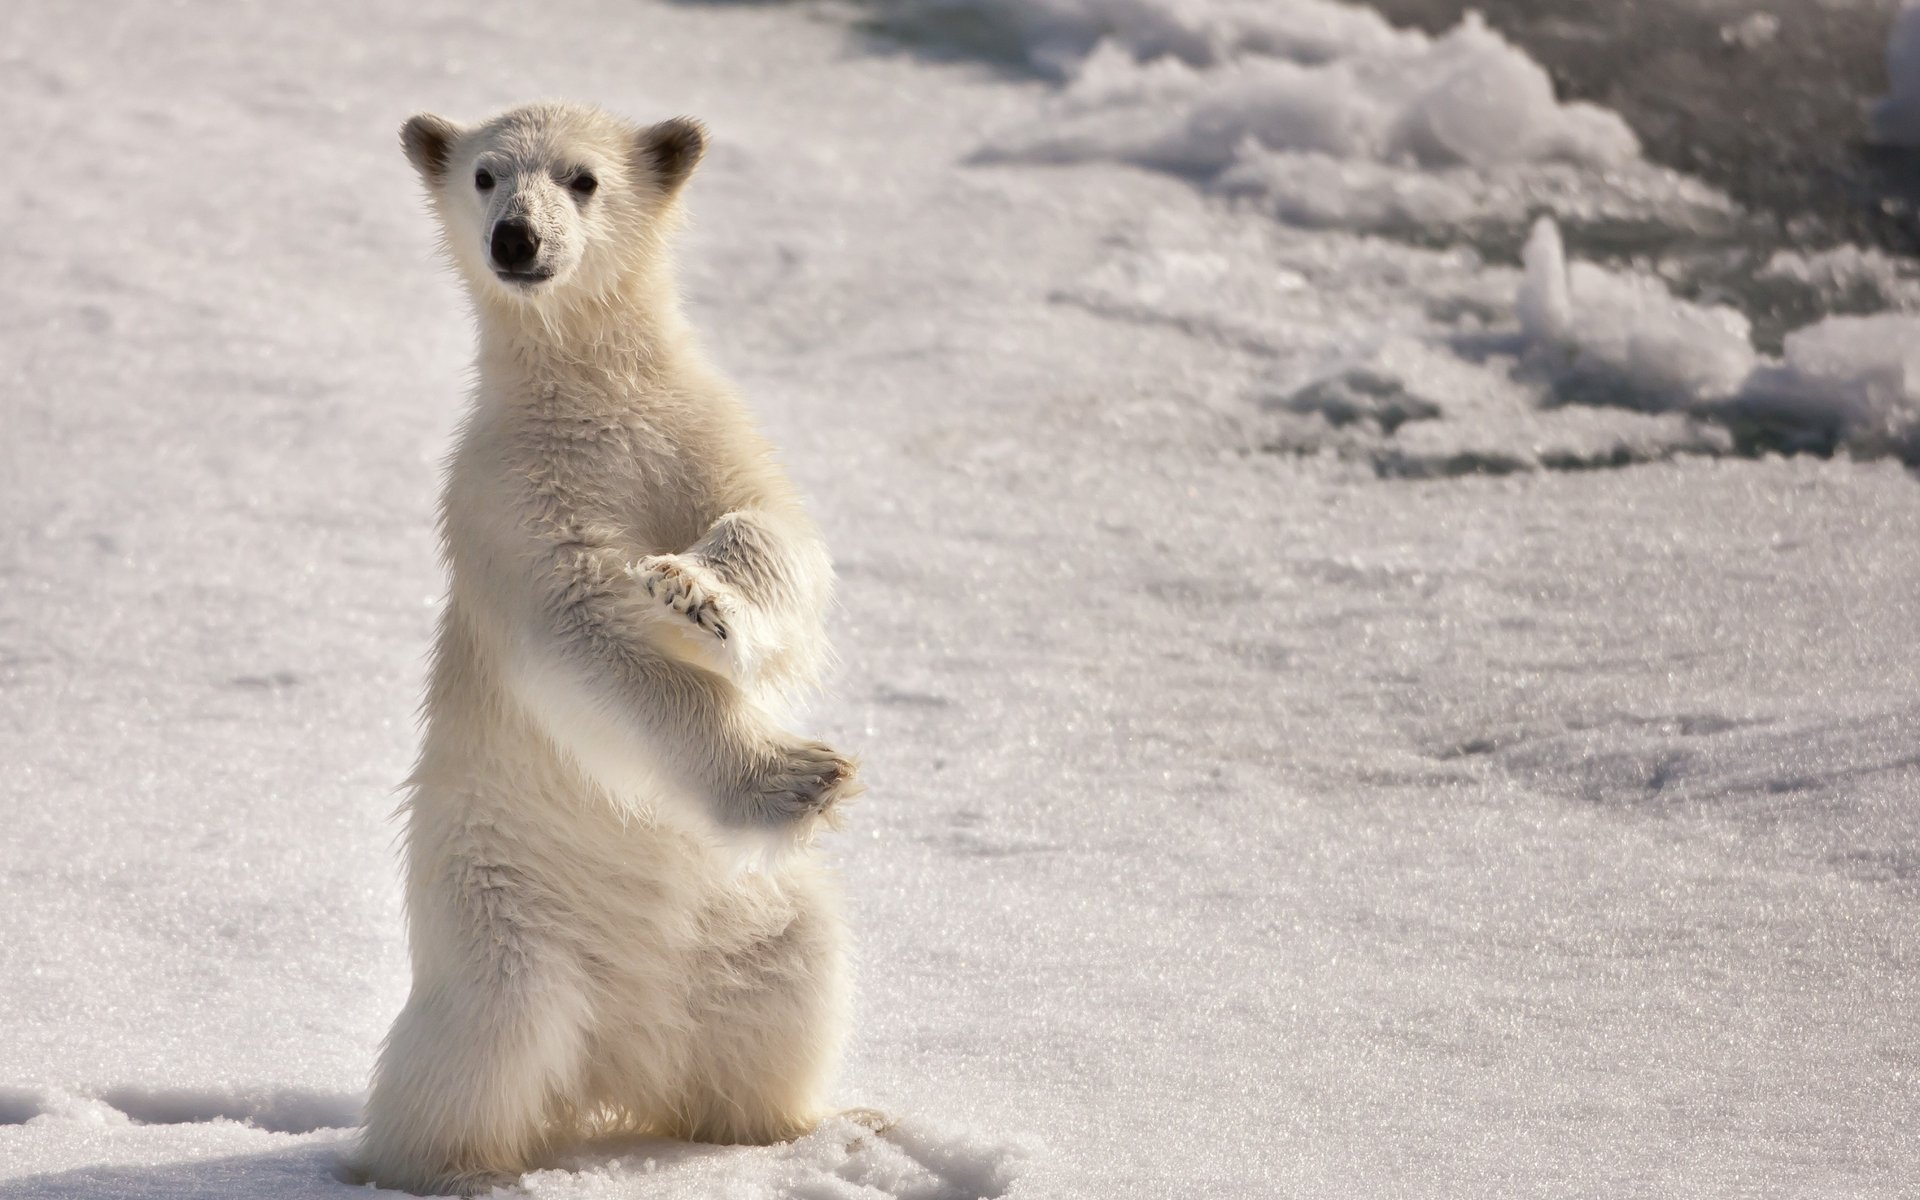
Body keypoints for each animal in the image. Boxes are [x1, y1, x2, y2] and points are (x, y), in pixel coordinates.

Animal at [351, 101, 862, 1196]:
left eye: (583, 179)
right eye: (486, 175)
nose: (517, 240)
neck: (590, 392)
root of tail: (620, 1061)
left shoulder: (699, 431)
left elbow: (776, 536)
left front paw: (697, 595)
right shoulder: (510, 492)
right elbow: (583, 630)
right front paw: (797, 777)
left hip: (754, 921)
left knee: (786, 998)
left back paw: (789, 1132)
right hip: (501, 911)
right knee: (480, 1048)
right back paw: (445, 1167)